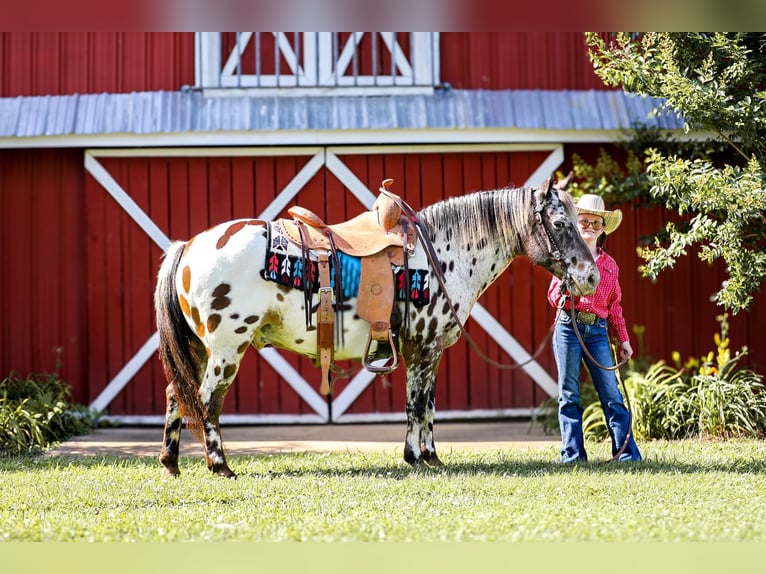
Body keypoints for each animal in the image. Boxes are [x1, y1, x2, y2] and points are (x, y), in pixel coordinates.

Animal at [154, 177, 599, 478]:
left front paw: (431, 456)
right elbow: (416, 404)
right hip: (227, 348)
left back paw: (171, 463)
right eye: (561, 224)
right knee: (207, 400)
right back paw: (219, 466)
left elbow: (429, 405)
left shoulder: (429, 350)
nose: (590, 276)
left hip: (199, 349)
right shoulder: (422, 347)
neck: (443, 253)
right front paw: (414, 458)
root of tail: (189, 246)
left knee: (177, 394)